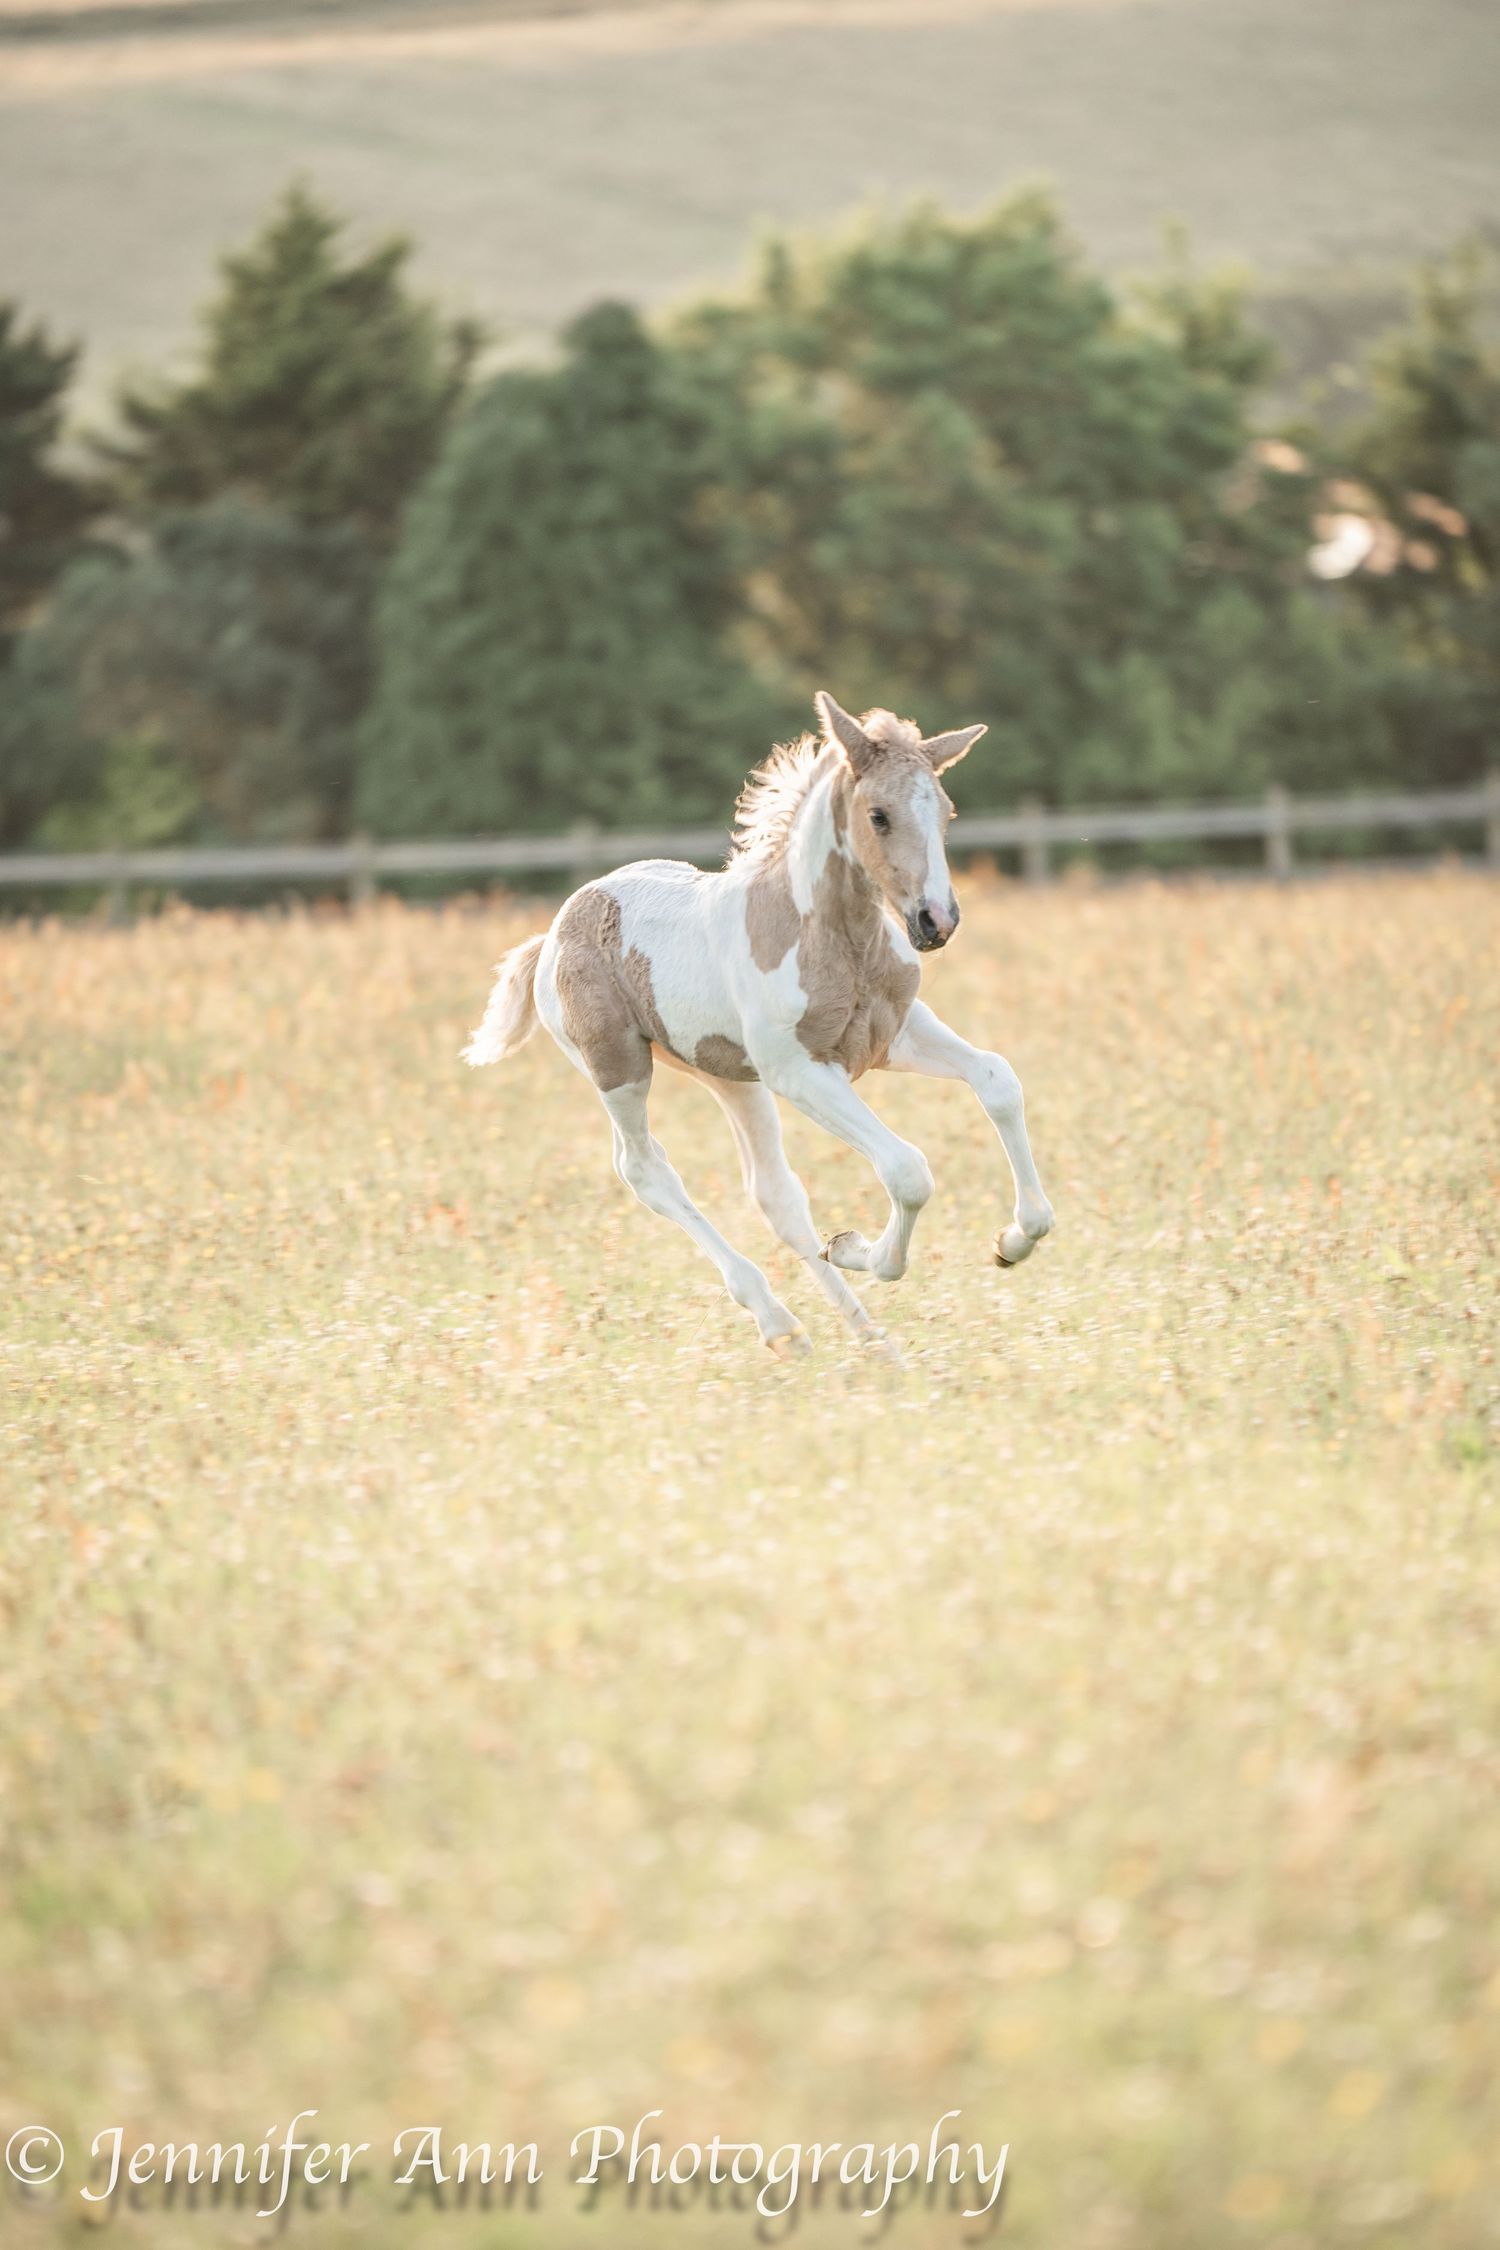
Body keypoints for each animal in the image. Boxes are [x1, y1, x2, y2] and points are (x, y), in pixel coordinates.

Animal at [464, 692, 1054, 1354]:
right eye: (878, 816)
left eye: (947, 813)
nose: (937, 921)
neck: (828, 936)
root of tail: (552, 936)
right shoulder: (799, 1070)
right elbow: (907, 1169)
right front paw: (860, 1250)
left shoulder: (893, 1036)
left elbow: (997, 1080)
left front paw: (1015, 1241)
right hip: (619, 1068)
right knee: (644, 1170)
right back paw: (779, 1321)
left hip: (727, 1074)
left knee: (773, 1191)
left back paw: (869, 1341)